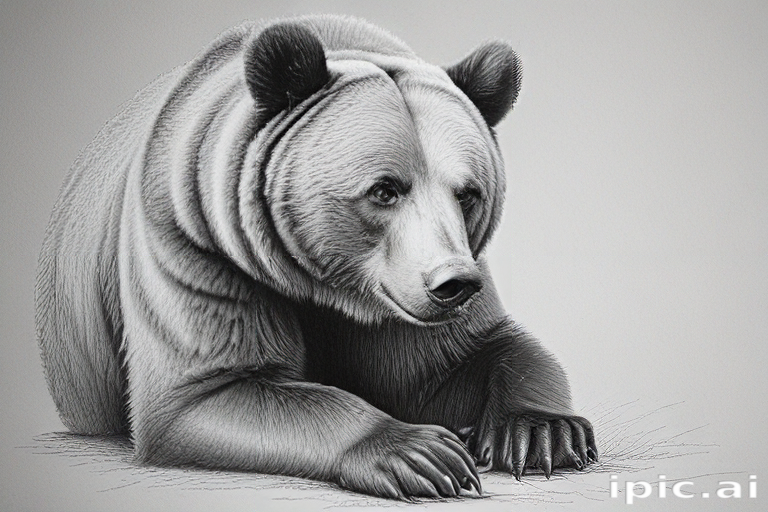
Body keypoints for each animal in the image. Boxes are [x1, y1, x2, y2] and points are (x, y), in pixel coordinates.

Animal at [35, 15, 597, 499]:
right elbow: (209, 392)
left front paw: (543, 433)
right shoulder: (194, 243)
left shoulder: (406, 302)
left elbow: (470, 357)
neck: (328, 285)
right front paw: (419, 453)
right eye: (385, 190)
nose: (452, 283)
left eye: (467, 193)